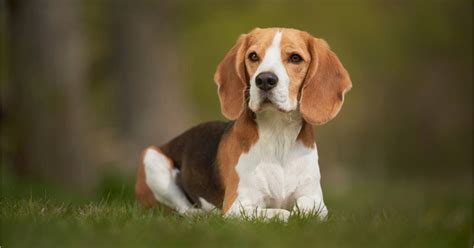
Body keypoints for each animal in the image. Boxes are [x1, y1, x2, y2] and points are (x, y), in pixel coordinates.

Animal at [135, 27, 350, 221]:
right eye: (253, 56)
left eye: (295, 58)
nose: (264, 79)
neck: (278, 133)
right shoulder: (238, 206)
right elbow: (279, 213)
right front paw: (287, 215)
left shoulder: (315, 200)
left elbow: (306, 208)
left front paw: (300, 213)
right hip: (152, 158)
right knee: (182, 209)